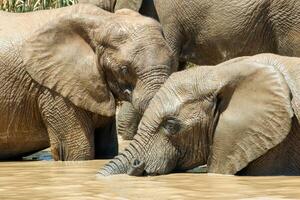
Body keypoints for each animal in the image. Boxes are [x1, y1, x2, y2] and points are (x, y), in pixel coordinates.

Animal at [0, 3, 173, 161]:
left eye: (172, 61)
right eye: (124, 69)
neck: (104, 20)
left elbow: (107, 149)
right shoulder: (56, 91)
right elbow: (78, 153)